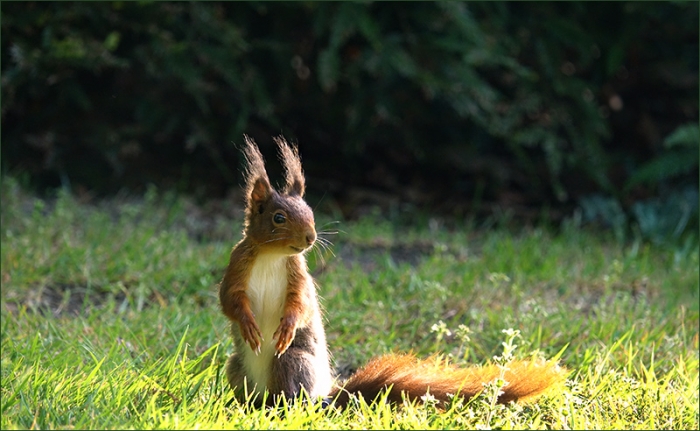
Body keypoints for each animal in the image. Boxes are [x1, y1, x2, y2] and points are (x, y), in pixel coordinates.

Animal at [219, 136, 567, 409]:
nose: (310, 238)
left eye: (310, 212)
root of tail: (325, 397)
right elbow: (229, 300)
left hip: (293, 362)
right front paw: (248, 324)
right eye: (278, 218)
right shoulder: (238, 266)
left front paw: (287, 327)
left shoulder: (298, 275)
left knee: (292, 393)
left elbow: (300, 305)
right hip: (236, 367)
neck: (273, 256)